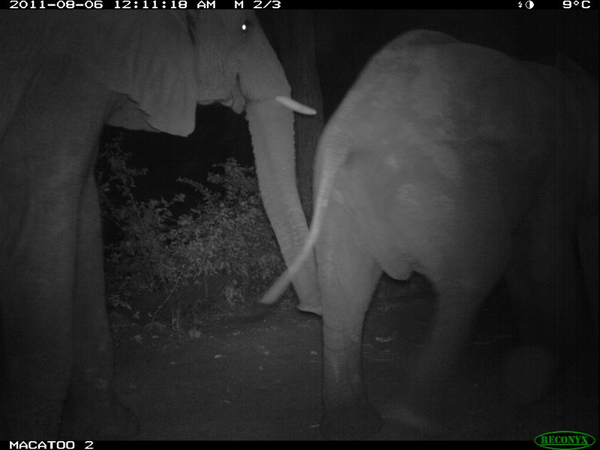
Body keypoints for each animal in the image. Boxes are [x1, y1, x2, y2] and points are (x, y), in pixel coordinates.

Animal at [0, 10, 322, 440]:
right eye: (246, 26)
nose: (312, 310)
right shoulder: (64, 78)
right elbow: (43, 199)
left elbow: (84, 212)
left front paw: (112, 428)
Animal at [260, 29, 596, 438]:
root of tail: (348, 128)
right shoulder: (556, 167)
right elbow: (546, 249)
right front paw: (553, 361)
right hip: (439, 188)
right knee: (476, 270)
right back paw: (413, 418)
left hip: (344, 198)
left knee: (344, 287)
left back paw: (354, 424)